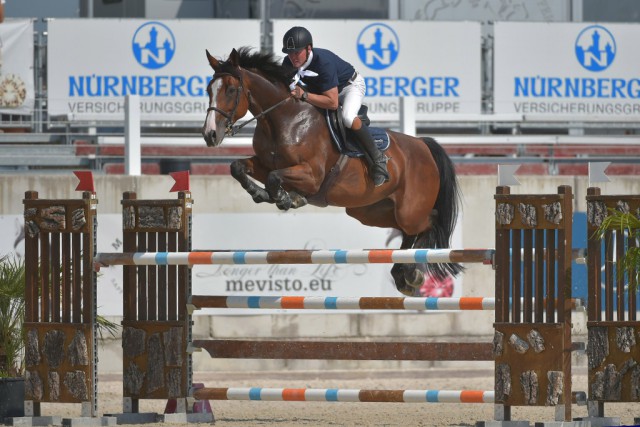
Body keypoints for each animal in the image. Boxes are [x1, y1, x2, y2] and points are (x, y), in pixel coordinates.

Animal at [200, 46, 460, 294]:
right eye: (209, 90)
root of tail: (423, 145)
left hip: (410, 209)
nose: (210, 135)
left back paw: (412, 272)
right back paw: (403, 274)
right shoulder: (265, 165)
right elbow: (237, 167)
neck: (283, 119)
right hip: (370, 211)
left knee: (429, 223)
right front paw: (261, 193)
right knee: (406, 232)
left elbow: (275, 179)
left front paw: (286, 198)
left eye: (231, 90)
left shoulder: (311, 176)